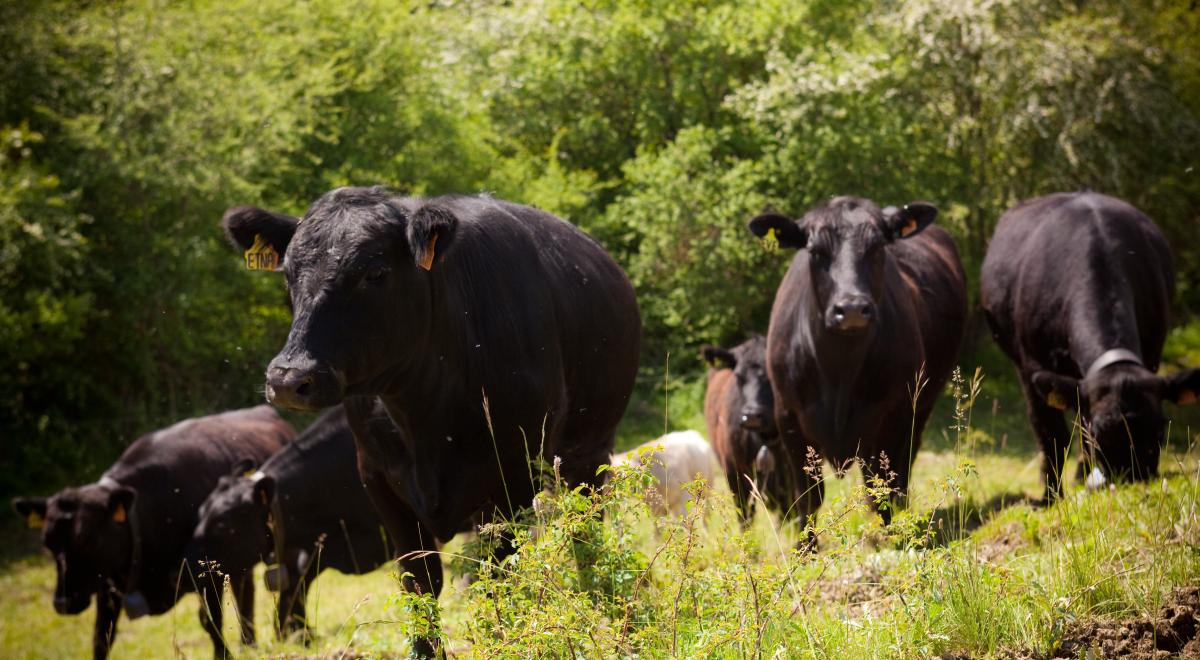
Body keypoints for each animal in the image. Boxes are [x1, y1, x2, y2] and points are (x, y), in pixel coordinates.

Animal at [11, 406, 293, 660]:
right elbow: (101, 638)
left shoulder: (203, 573)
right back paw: (249, 644)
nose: (63, 603)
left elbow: (210, 621)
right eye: (48, 544)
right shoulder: (107, 586)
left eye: (88, 540)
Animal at [221, 187, 641, 656]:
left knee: (586, 536)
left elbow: (495, 582)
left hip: (588, 453)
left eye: (375, 273)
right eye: (289, 275)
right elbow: (420, 587)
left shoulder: (512, 478)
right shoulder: (380, 481)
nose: (289, 379)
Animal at [747, 196, 967, 536]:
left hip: (921, 406)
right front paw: (805, 547)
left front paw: (885, 538)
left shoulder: (893, 416)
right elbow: (807, 498)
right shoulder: (789, 419)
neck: (839, 370)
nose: (851, 308)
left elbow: (880, 491)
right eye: (816, 251)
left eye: (877, 248)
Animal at [980, 191, 1200, 500]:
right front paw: (1049, 497)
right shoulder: (1033, 366)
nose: (1132, 480)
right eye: (1100, 434)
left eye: (1159, 431)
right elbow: (1052, 434)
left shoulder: (1152, 355)